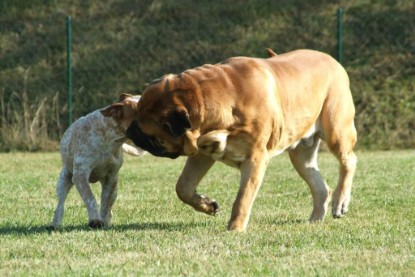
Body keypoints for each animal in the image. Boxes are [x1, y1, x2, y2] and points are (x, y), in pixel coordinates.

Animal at [47, 92, 144, 229]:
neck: (110, 141)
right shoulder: (80, 175)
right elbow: (90, 198)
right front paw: (95, 220)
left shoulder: (111, 178)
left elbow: (105, 204)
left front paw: (103, 221)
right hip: (63, 181)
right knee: (60, 205)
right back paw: (54, 223)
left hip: (115, 189)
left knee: (110, 207)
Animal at [127, 48, 358, 230]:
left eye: (146, 129)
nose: (131, 129)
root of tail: (333, 60)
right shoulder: (202, 154)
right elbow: (183, 186)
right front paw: (208, 205)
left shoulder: (256, 157)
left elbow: (243, 197)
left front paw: (235, 228)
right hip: (301, 154)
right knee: (320, 186)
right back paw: (315, 219)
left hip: (337, 129)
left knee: (349, 160)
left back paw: (340, 202)